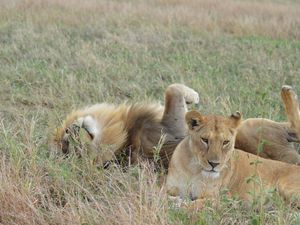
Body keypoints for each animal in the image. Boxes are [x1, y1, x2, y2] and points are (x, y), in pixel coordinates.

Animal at [50, 84, 300, 169]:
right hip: (251, 127)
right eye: (69, 148)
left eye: (66, 140)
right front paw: (194, 96)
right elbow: (172, 90)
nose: (73, 131)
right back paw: (287, 91)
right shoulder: (175, 126)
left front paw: (192, 96)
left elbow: (171, 88)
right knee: (295, 128)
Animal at [168, 95, 300, 206]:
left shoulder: (216, 199)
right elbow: (167, 198)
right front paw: (175, 201)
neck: (194, 170)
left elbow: (191, 205)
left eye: (225, 142)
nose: (214, 164)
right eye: (204, 140)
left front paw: (178, 203)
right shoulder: (169, 189)